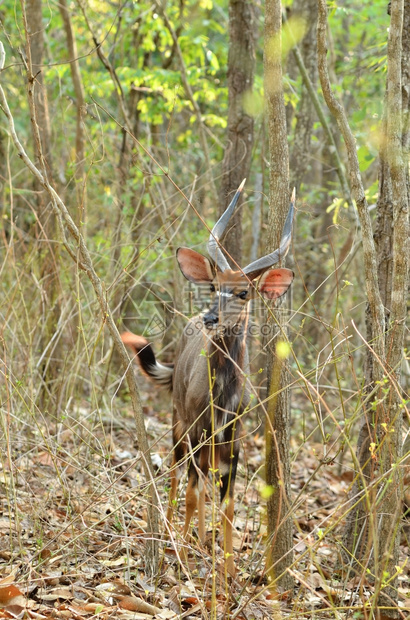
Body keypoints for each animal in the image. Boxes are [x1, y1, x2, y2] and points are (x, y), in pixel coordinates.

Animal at [121, 180, 294, 576]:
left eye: (244, 291)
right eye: (215, 285)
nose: (210, 318)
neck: (222, 398)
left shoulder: (234, 440)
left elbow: (228, 507)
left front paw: (228, 574)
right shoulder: (197, 429)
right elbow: (191, 493)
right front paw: (182, 560)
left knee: (200, 481)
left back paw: (201, 539)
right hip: (178, 424)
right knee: (177, 476)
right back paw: (174, 535)